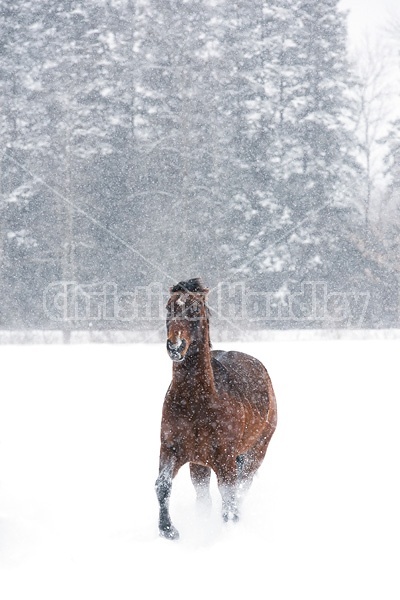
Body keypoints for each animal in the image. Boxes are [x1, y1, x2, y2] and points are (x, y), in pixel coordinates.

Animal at [155, 278, 276, 540]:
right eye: (169, 308)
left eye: (195, 310)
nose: (175, 346)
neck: (195, 403)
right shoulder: (171, 449)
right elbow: (162, 485)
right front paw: (168, 531)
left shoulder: (226, 459)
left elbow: (229, 496)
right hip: (199, 465)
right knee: (204, 497)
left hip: (255, 454)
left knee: (240, 491)